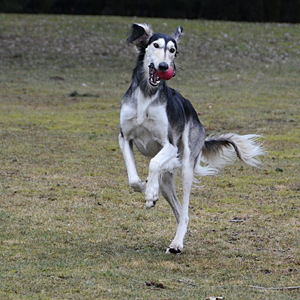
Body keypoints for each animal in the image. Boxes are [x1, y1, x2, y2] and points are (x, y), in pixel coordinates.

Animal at [118, 24, 264, 253]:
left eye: (173, 50)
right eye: (155, 45)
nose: (163, 66)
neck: (147, 95)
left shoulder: (169, 145)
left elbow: (152, 163)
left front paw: (150, 193)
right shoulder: (124, 138)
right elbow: (133, 179)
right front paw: (145, 188)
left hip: (186, 165)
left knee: (185, 211)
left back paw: (177, 244)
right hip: (167, 179)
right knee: (179, 212)